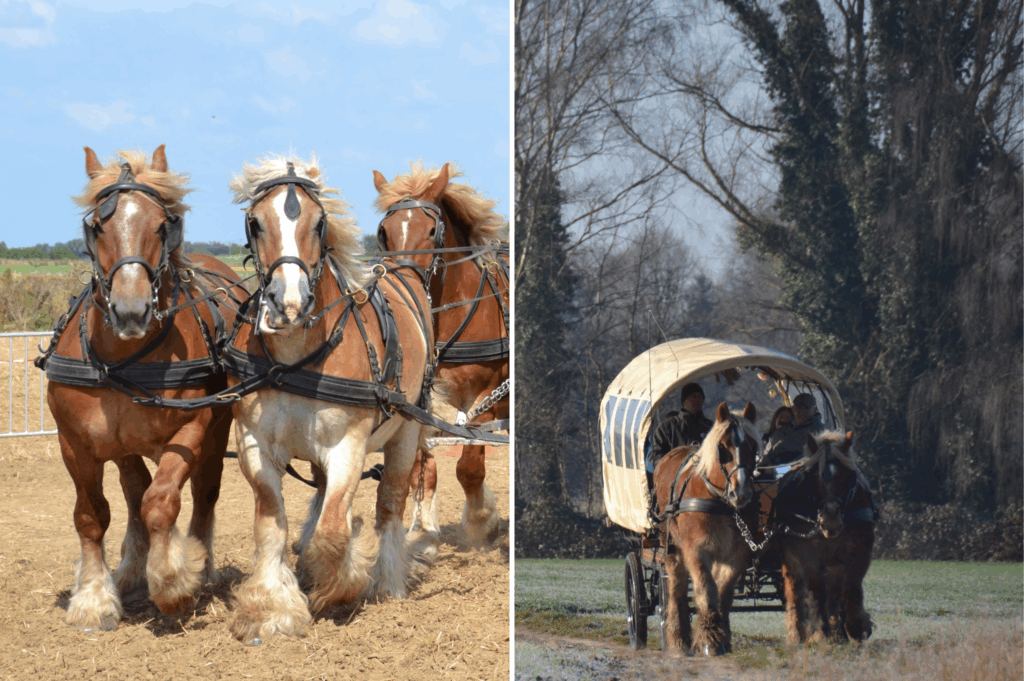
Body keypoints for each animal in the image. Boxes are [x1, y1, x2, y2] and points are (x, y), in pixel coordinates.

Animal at [41, 145, 243, 631]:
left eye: (162, 224)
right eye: (98, 226)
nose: (130, 311)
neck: (123, 356)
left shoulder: (192, 429)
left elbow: (161, 502)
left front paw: (173, 582)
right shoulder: (74, 442)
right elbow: (91, 515)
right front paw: (95, 598)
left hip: (217, 431)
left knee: (202, 494)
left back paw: (200, 564)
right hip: (122, 443)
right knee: (133, 491)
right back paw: (132, 567)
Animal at [223, 154, 434, 644]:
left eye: (319, 223)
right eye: (255, 222)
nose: (289, 305)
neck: (294, 357)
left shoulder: (347, 445)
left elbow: (336, 529)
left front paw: (338, 586)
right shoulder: (253, 442)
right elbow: (270, 524)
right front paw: (271, 608)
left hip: (407, 433)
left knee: (391, 502)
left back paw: (387, 580)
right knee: (320, 495)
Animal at [372, 162, 509, 548]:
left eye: (432, 230)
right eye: (384, 232)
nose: (400, 281)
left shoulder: (488, 395)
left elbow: (469, 466)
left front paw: (482, 520)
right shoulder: (423, 401)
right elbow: (422, 465)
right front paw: (423, 529)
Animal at [653, 402, 760, 656]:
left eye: (753, 446)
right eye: (723, 447)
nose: (741, 493)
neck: (718, 500)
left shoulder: (736, 555)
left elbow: (723, 593)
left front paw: (722, 636)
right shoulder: (696, 551)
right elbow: (706, 591)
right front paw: (709, 639)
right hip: (670, 547)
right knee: (676, 586)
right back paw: (677, 637)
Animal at [771, 430, 875, 644]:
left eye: (848, 475)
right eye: (814, 477)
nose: (830, 520)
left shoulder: (860, 550)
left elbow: (852, 585)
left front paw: (855, 627)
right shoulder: (807, 555)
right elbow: (816, 590)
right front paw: (821, 631)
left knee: (834, 591)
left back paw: (838, 631)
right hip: (790, 560)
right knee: (795, 588)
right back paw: (797, 632)